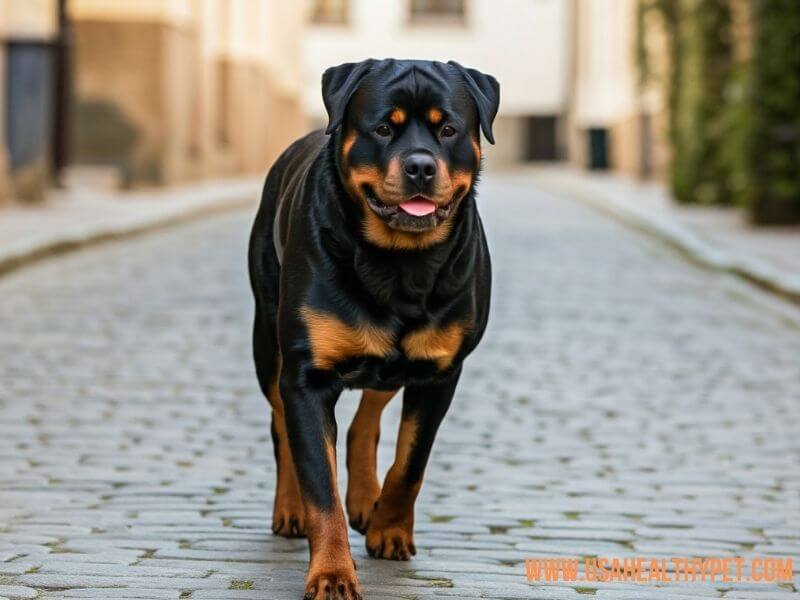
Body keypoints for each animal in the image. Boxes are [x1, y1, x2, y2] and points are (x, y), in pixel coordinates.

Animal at [248, 57, 500, 600]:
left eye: (448, 129)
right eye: (384, 128)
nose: (421, 165)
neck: (399, 265)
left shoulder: (440, 374)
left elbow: (410, 464)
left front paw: (390, 529)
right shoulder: (306, 377)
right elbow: (320, 486)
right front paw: (332, 574)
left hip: (391, 361)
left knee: (366, 418)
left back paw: (368, 501)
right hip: (268, 341)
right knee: (281, 424)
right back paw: (289, 508)